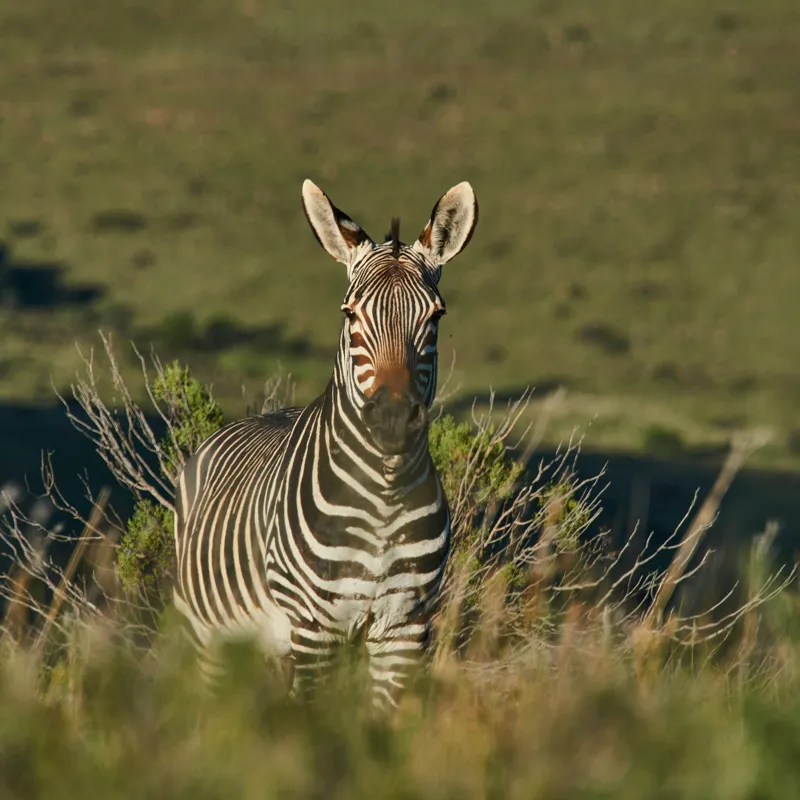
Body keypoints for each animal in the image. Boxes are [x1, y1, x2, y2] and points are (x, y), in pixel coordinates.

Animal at [173, 179, 478, 709]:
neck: (384, 495)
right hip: (210, 634)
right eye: (350, 314)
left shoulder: (405, 627)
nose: (393, 419)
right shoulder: (317, 627)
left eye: (435, 316)